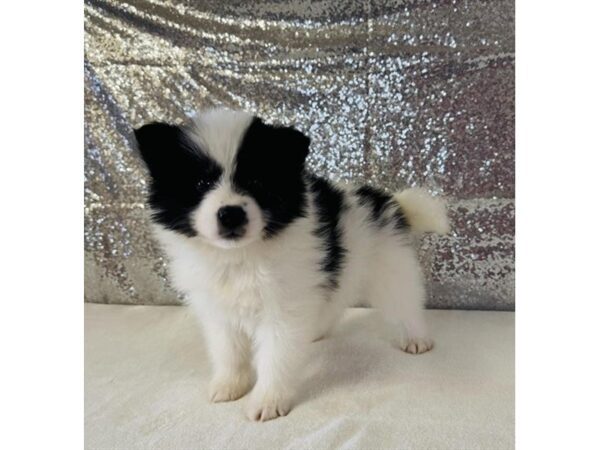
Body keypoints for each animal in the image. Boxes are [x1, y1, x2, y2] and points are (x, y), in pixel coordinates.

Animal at [134, 108, 450, 421]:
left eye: (257, 183)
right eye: (201, 184)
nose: (231, 214)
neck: (240, 256)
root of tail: (387, 200)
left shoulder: (283, 308)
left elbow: (276, 356)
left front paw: (268, 400)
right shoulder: (217, 308)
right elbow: (228, 350)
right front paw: (229, 384)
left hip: (389, 265)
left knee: (403, 301)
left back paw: (416, 338)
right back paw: (317, 330)